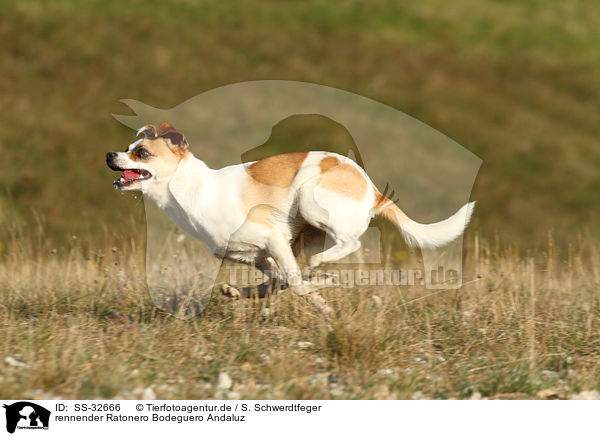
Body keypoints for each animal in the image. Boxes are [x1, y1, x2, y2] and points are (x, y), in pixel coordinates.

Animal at [106, 122, 474, 296]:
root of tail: (373, 190)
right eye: (127, 147)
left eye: (141, 153)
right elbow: (279, 280)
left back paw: (320, 267)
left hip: (310, 200)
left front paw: (321, 300)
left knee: (348, 245)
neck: (192, 190)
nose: (110, 155)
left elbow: (296, 285)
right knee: (293, 273)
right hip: (303, 234)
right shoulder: (258, 256)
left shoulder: (273, 240)